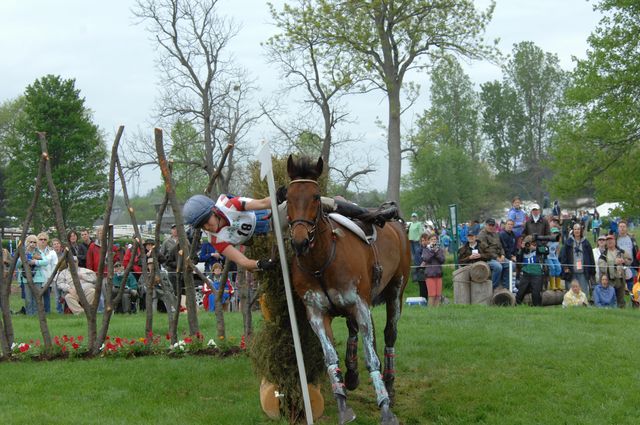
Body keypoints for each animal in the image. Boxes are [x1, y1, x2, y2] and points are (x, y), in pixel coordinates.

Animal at [284, 156, 410, 424]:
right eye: (288, 196)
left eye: (316, 196)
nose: (299, 241)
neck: (321, 262)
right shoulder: (316, 313)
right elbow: (330, 357)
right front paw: (343, 404)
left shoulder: (360, 306)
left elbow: (372, 357)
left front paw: (385, 407)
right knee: (354, 331)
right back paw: (352, 373)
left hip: (396, 290)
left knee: (389, 334)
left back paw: (389, 383)